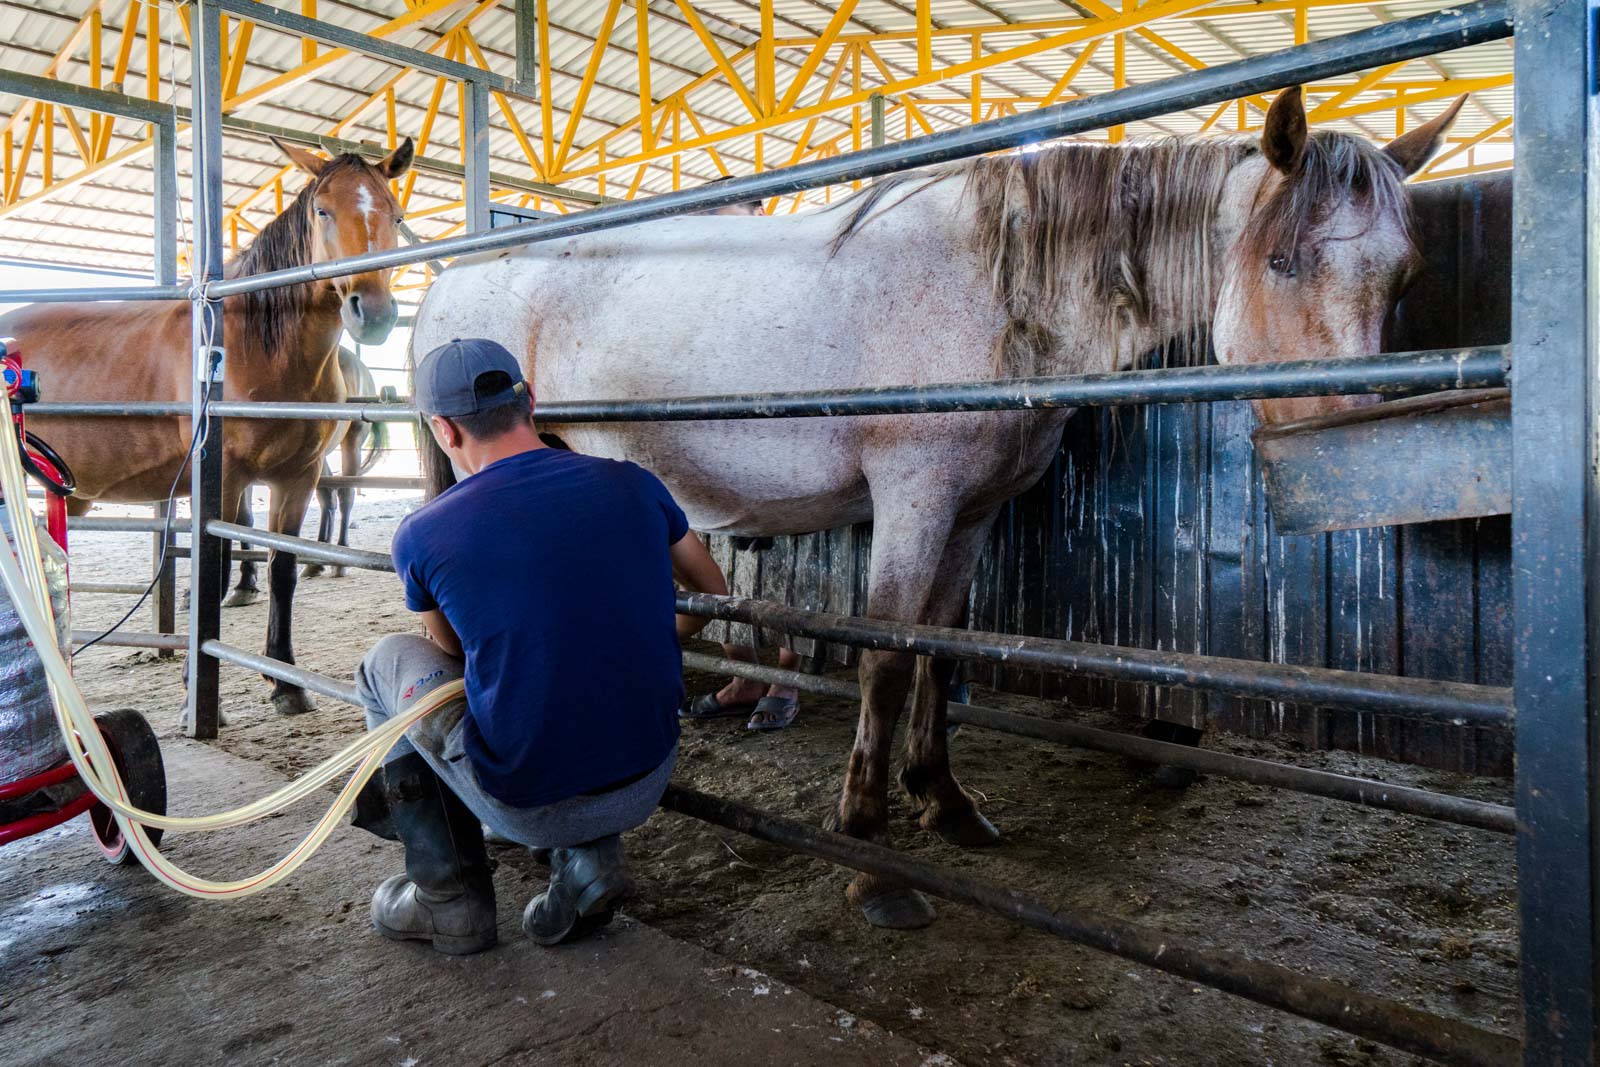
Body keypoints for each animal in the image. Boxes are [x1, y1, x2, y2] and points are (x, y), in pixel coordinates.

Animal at [4, 135, 412, 716]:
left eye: (396, 215)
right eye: (322, 210)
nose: (372, 313)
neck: (256, 348)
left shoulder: (298, 477)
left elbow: (283, 569)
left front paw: (286, 681)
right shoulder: (221, 478)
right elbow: (213, 569)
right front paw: (196, 692)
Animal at [412, 89, 1465, 927]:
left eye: (1406, 274)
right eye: (1282, 261)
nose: (1344, 449)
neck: (995, 294)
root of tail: (454, 279)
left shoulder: (974, 512)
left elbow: (942, 649)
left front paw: (945, 802)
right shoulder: (913, 499)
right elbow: (884, 658)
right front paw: (869, 852)